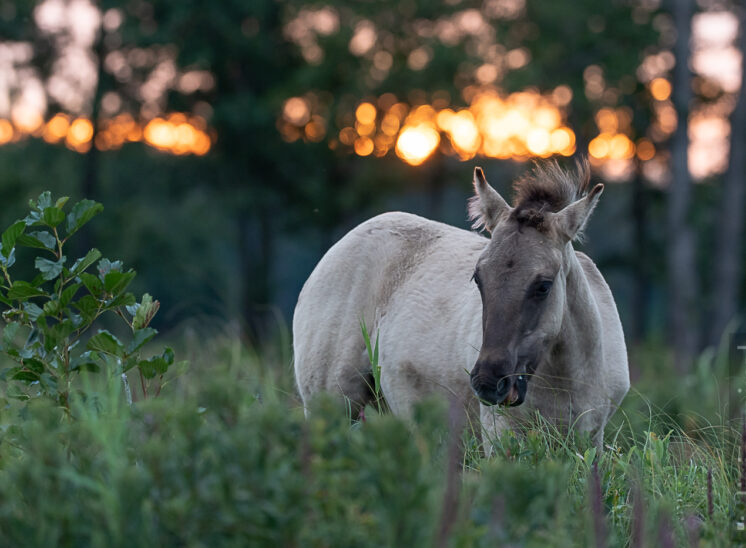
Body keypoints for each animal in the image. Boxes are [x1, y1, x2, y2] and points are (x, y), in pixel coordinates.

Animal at [290, 159, 628, 450]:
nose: (488, 383)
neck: (565, 379)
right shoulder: (501, 434)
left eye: (543, 285)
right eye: (478, 278)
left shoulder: (591, 439)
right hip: (330, 404)